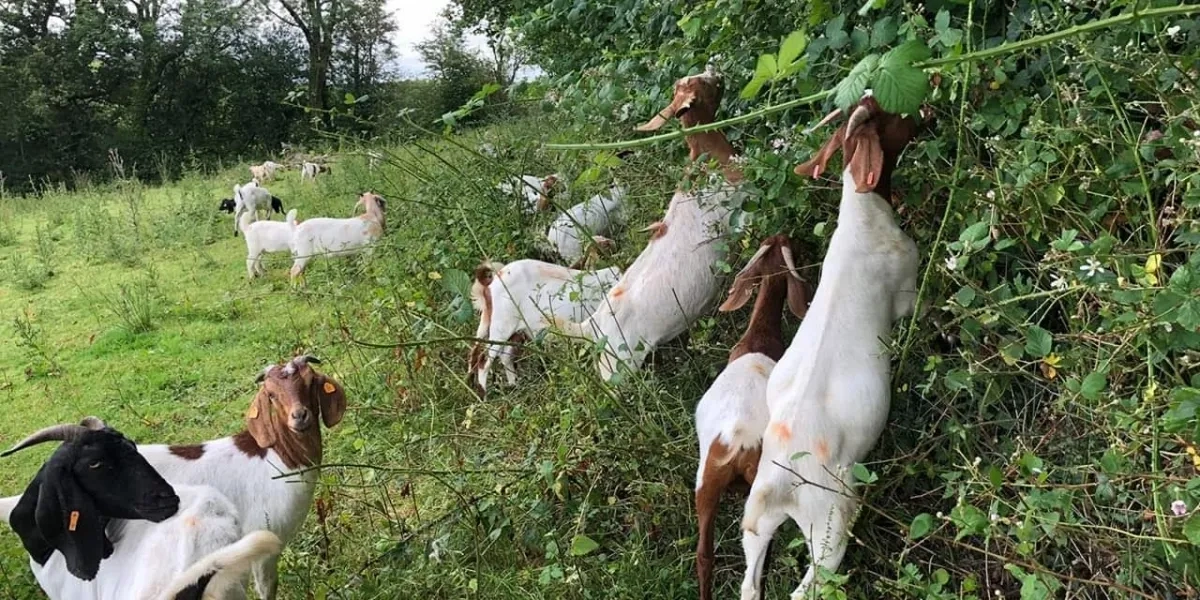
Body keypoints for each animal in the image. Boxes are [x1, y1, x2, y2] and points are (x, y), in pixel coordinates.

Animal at [137, 355, 347, 600]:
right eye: (271, 394)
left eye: (311, 381)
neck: (281, 459)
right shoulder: (259, 539)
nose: (299, 417)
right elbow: (266, 586)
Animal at [468, 259, 622, 393]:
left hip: (506, 329)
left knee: (500, 355)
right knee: (484, 359)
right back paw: (484, 397)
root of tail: (495, 279)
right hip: (501, 328)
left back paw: (514, 386)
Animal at [738, 97, 921, 600]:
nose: (929, 110)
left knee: (750, 582)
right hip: (831, 521)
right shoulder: (907, 287)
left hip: (756, 521)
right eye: (895, 115)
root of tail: (781, 481)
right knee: (810, 586)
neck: (862, 219)